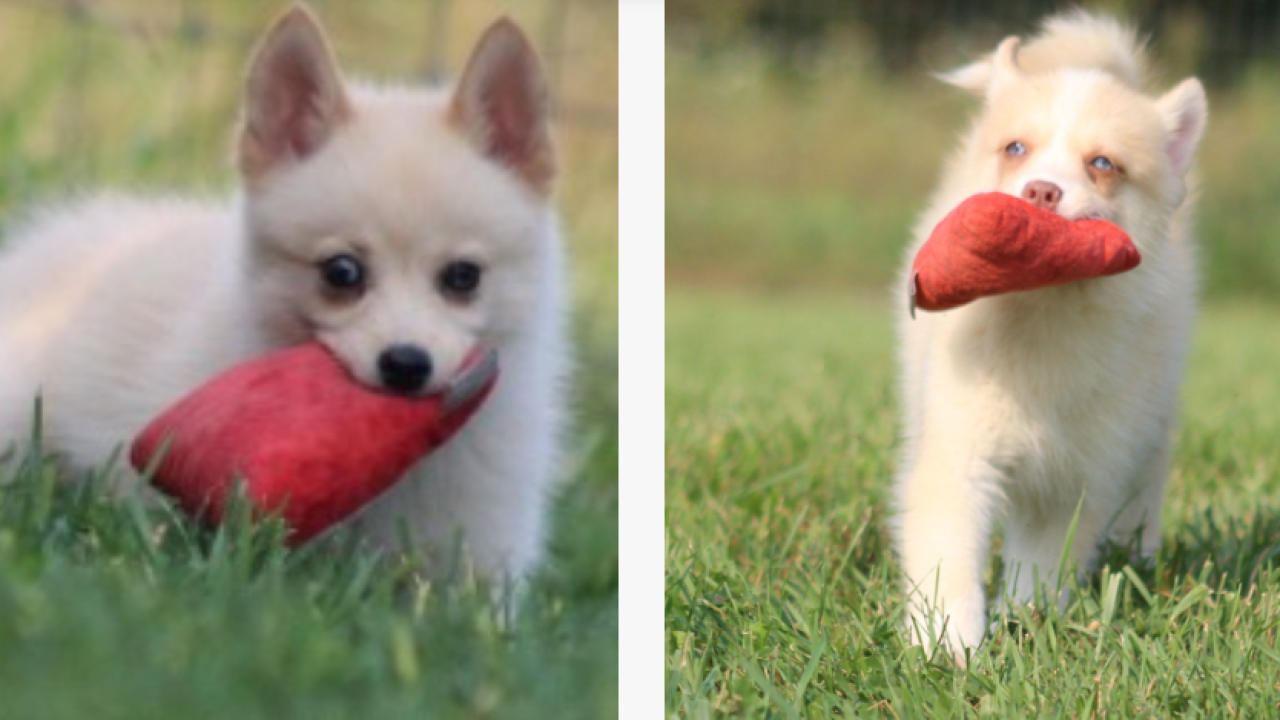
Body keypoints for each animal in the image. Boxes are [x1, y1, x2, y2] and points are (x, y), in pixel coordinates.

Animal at [896, 11, 1203, 661]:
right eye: (1015, 149)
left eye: (1104, 164)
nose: (1040, 192)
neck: (1042, 311)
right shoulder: (959, 449)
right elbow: (948, 555)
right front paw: (949, 647)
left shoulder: (1076, 475)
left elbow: (1040, 563)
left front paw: (1023, 623)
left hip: (1150, 425)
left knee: (1145, 487)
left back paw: (1139, 557)